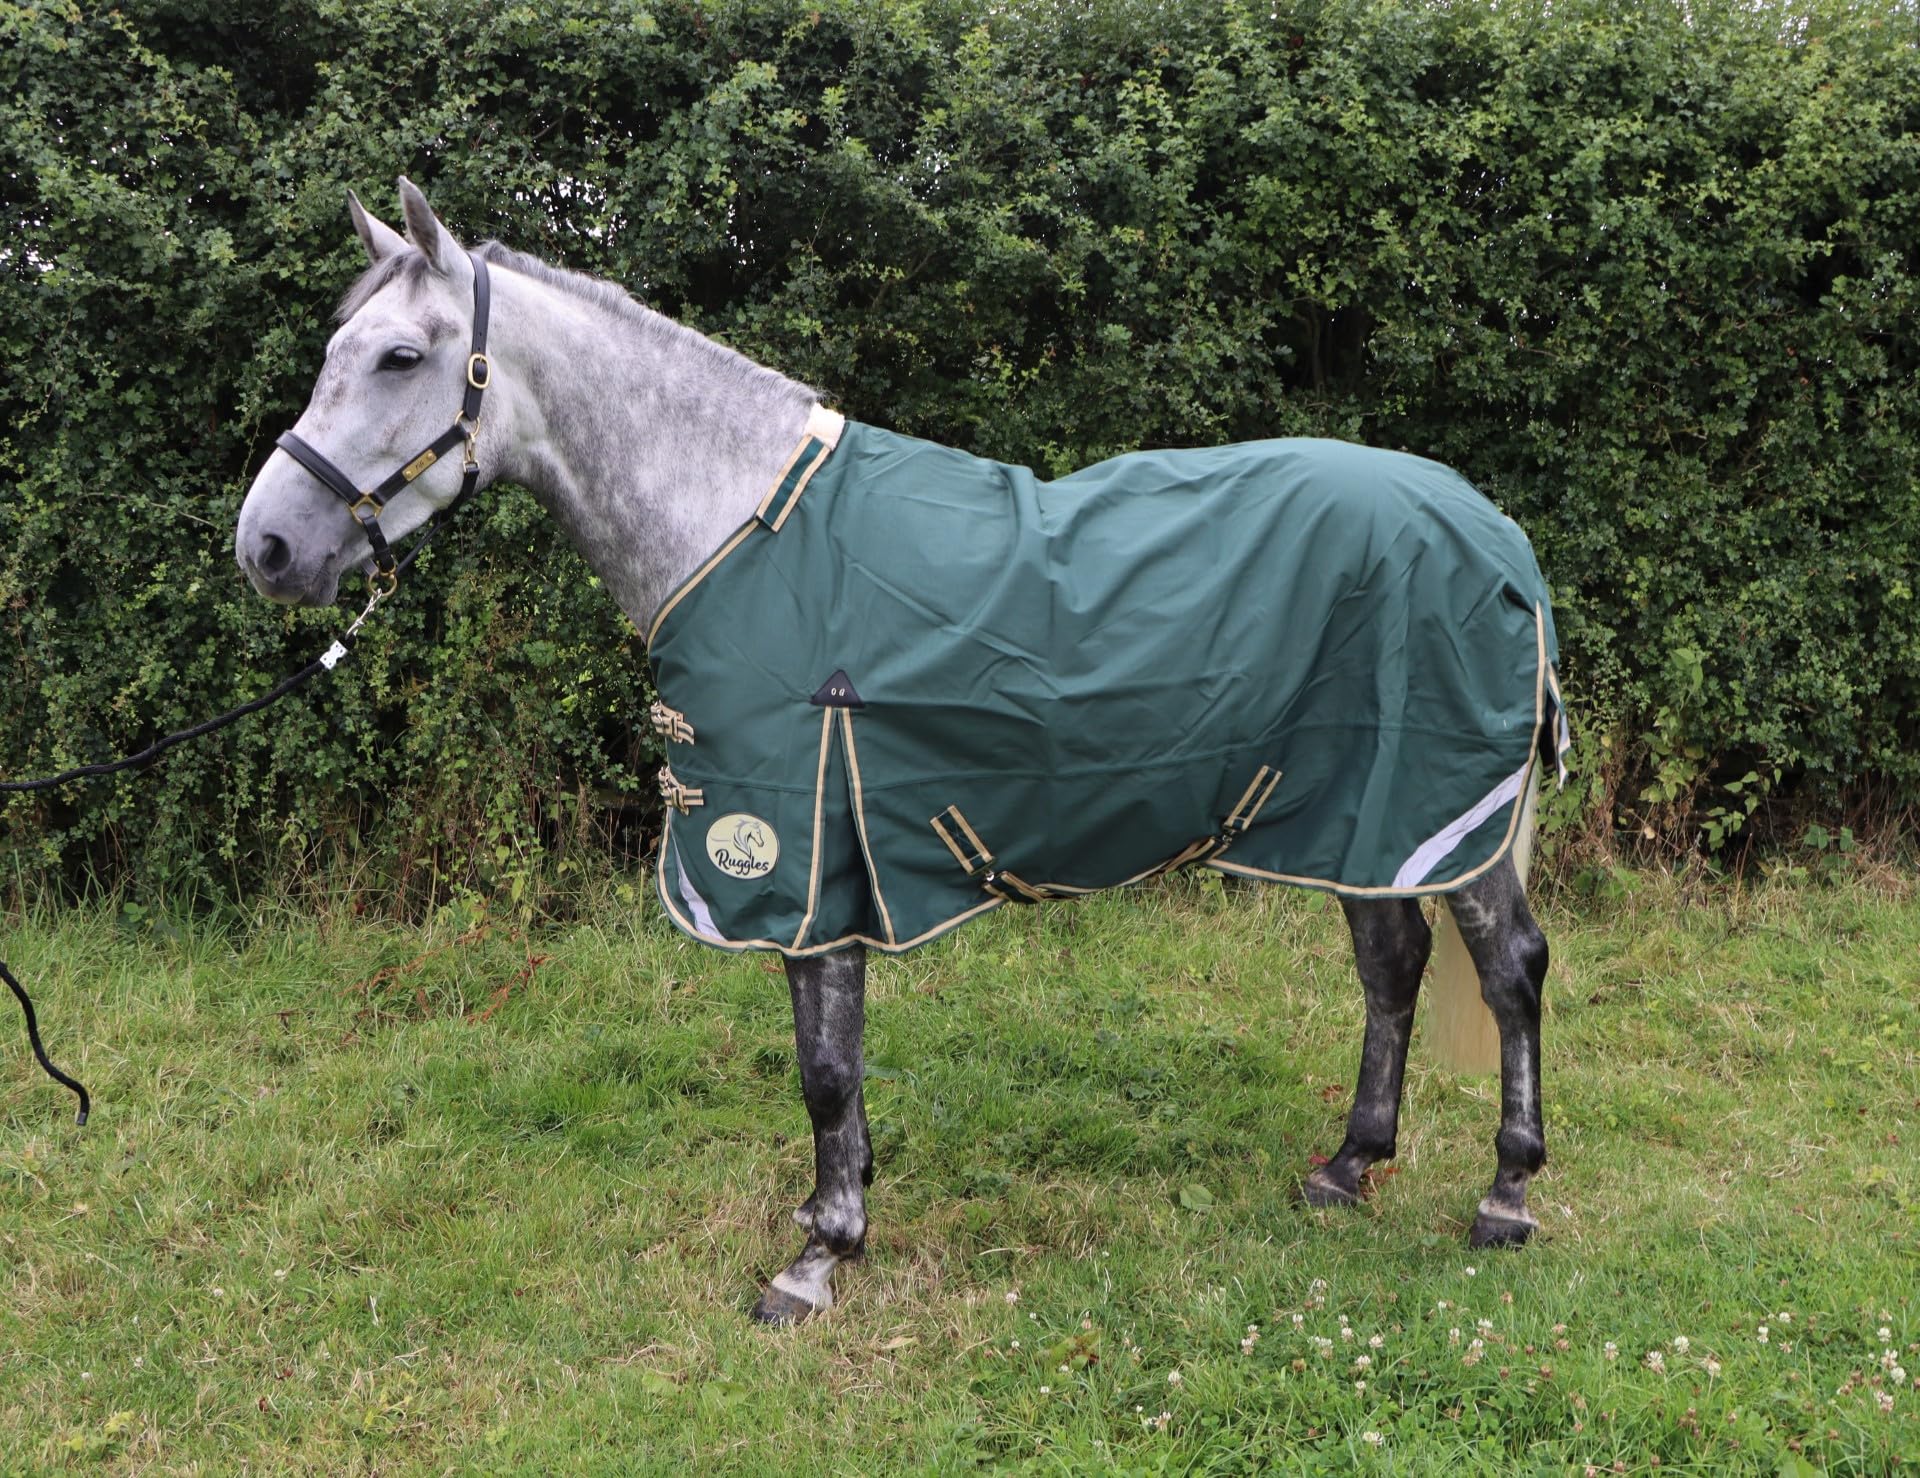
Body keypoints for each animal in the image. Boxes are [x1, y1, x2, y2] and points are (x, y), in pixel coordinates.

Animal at [234, 180, 1561, 1325]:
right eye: (336, 348)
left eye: (400, 357)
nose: (267, 546)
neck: (739, 528)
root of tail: (1492, 526)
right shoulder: (814, 859)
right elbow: (835, 1061)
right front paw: (839, 1209)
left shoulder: (790, 847)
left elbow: (824, 1066)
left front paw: (817, 1259)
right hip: (1360, 815)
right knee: (1391, 964)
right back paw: (1347, 1164)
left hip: (1442, 809)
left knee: (1509, 970)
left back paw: (1505, 1194)